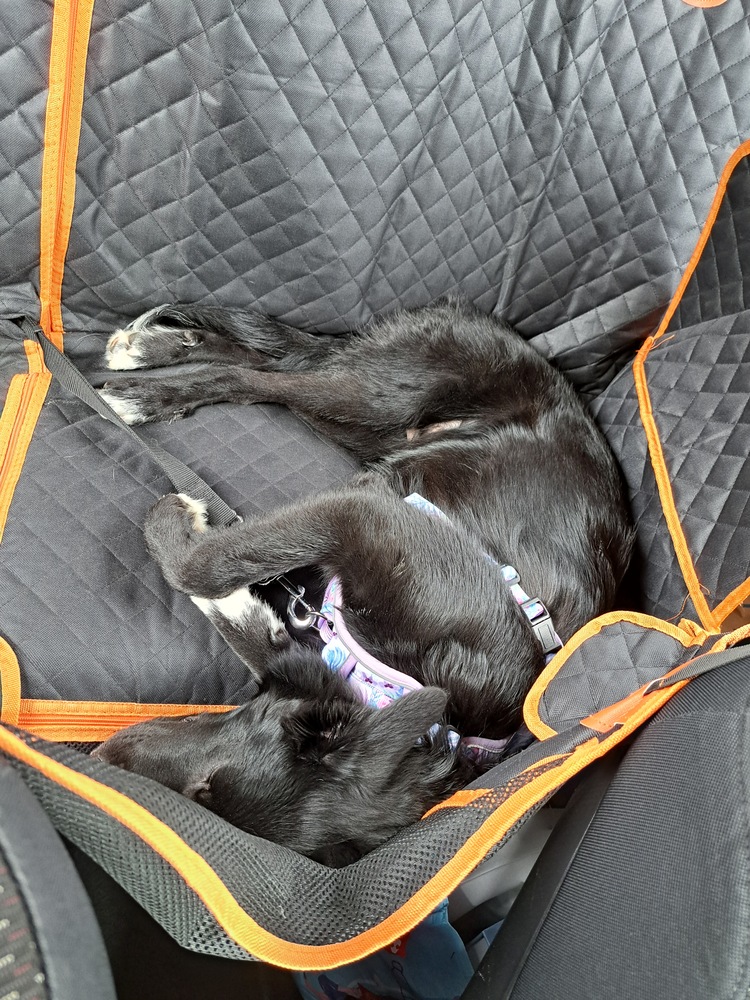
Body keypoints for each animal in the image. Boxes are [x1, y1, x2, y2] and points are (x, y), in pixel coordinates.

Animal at [92, 298, 633, 865]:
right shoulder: (361, 515)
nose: (103, 755)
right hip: (379, 397)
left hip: (360, 423)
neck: (394, 683)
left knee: (273, 367)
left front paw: (239, 605)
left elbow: (243, 618)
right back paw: (145, 383)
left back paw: (153, 355)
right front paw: (176, 525)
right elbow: (211, 563)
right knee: (263, 375)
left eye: (205, 792)